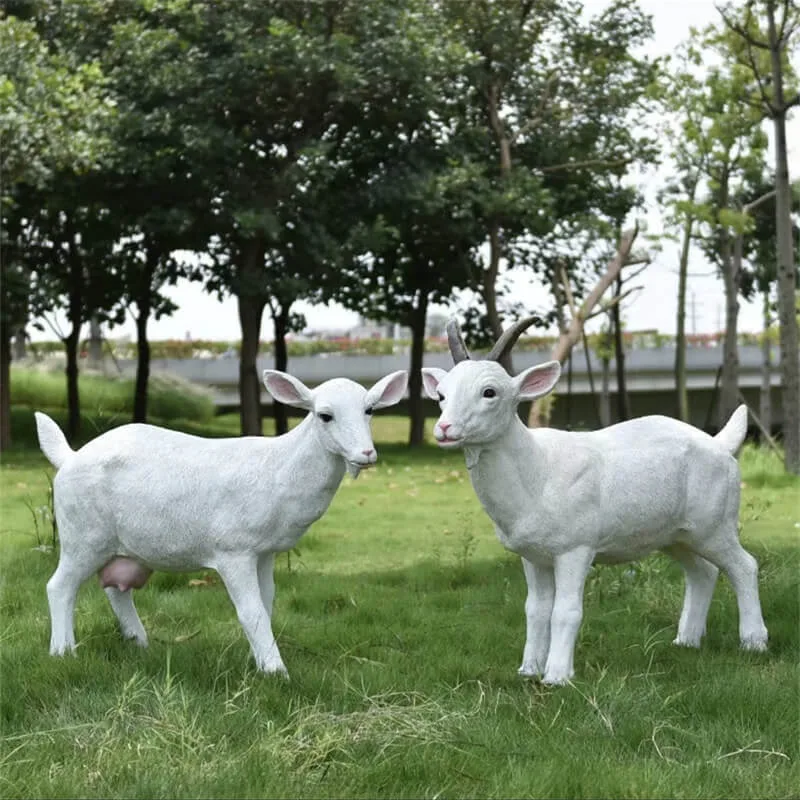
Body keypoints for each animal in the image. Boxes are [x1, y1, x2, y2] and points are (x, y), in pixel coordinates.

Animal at [35, 368, 408, 677]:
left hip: (122, 546)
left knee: (115, 588)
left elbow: (266, 604)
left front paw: (258, 662)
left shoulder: (265, 551)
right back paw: (63, 652)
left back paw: (139, 643)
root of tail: (68, 457)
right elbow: (250, 611)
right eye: (325, 416)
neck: (279, 469)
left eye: (370, 410)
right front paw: (276, 672)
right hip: (82, 535)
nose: (366, 454)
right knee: (59, 586)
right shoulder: (233, 548)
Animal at [421, 317, 768, 685]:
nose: (444, 428)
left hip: (715, 525)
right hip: (676, 535)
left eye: (490, 392)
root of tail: (721, 444)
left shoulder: (576, 548)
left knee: (744, 566)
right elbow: (535, 609)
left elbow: (566, 610)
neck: (539, 469)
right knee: (703, 572)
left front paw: (557, 676)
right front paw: (528, 670)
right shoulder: (533, 555)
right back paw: (686, 641)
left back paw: (753, 642)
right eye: (441, 395)